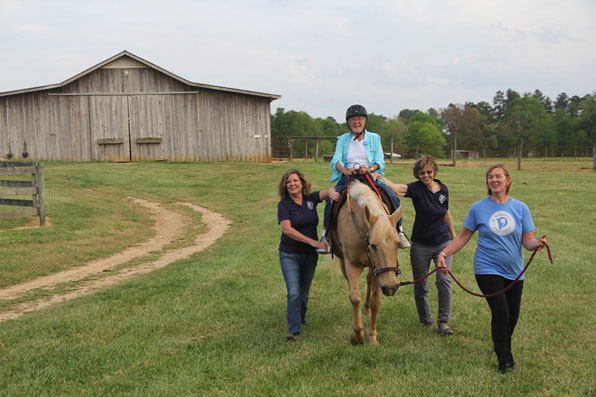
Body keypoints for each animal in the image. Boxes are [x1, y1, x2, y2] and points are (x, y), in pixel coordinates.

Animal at [328, 179, 402, 344]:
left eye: (397, 243)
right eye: (373, 245)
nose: (391, 287)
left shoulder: (379, 271)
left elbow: (376, 301)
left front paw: (373, 337)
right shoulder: (351, 264)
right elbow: (354, 296)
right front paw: (357, 335)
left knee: (368, 281)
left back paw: (366, 309)